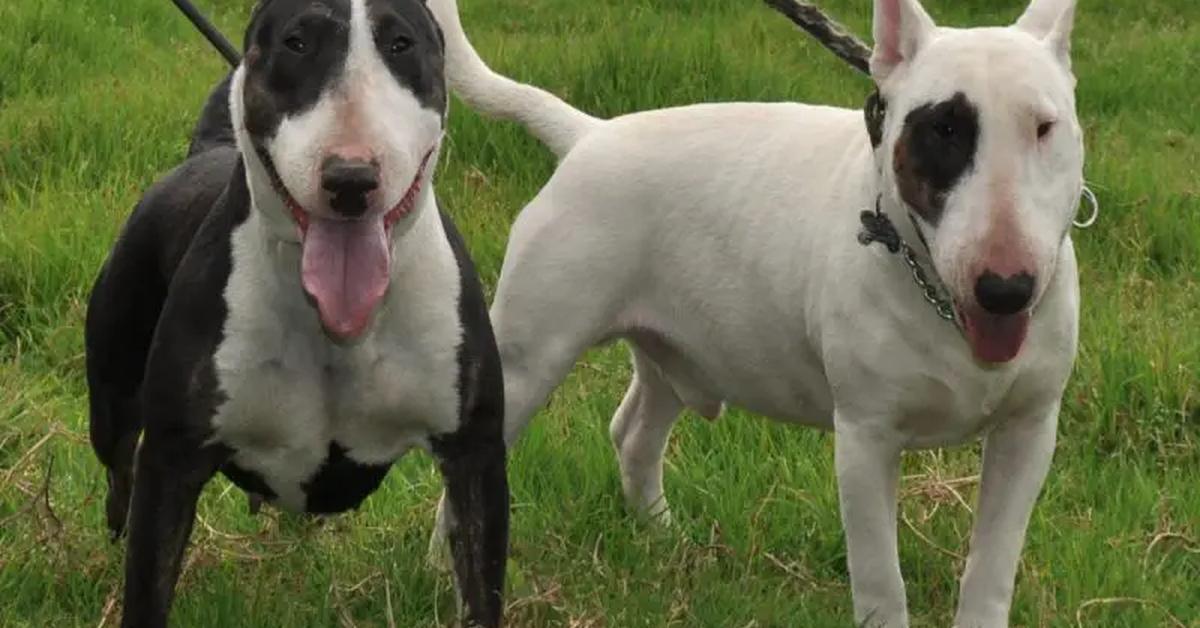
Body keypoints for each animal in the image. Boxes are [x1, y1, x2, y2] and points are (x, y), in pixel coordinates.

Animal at [84, 2, 506, 624]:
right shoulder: (171, 462)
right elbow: (147, 588)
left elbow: (481, 589)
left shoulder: (475, 456)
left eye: (401, 44)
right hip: (114, 391)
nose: (351, 179)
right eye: (296, 42)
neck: (335, 327)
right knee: (119, 468)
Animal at [429, 0, 1080, 624]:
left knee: (634, 431)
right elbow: (880, 579)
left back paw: (663, 537)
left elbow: (992, 566)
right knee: (472, 472)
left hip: (675, 348)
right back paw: (445, 569)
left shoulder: (1029, 431)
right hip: (526, 358)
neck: (941, 304)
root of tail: (589, 134)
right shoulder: (866, 438)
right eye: (944, 128)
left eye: (1045, 127)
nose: (1007, 288)